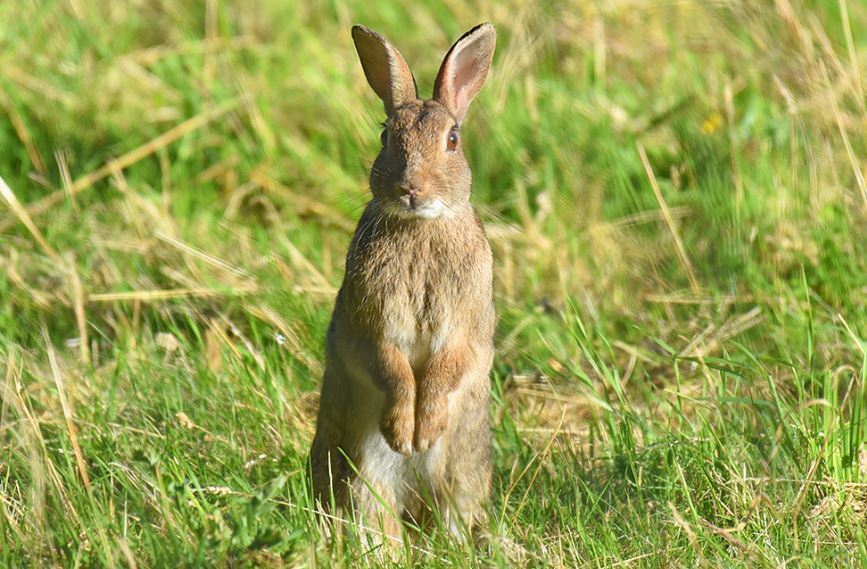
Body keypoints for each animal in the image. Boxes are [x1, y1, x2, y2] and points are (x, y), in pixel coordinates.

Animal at [308, 22, 498, 540]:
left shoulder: (467, 327)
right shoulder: (370, 327)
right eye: (384, 136)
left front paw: (424, 430)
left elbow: (448, 366)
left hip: (461, 477)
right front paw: (402, 434)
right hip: (363, 481)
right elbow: (389, 366)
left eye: (452, 139)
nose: (411, 189)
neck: (421, 226)